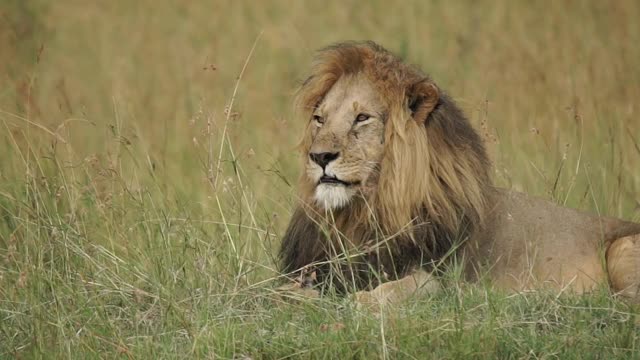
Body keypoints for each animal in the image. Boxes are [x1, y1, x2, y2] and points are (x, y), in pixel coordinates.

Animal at [280, 40, 640, 306]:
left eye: (362, 118)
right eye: (319, 119)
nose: (319, 156)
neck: (364, 212)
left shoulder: (444, 278)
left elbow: (400, 289)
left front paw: (359, 302)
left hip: (623, 248)